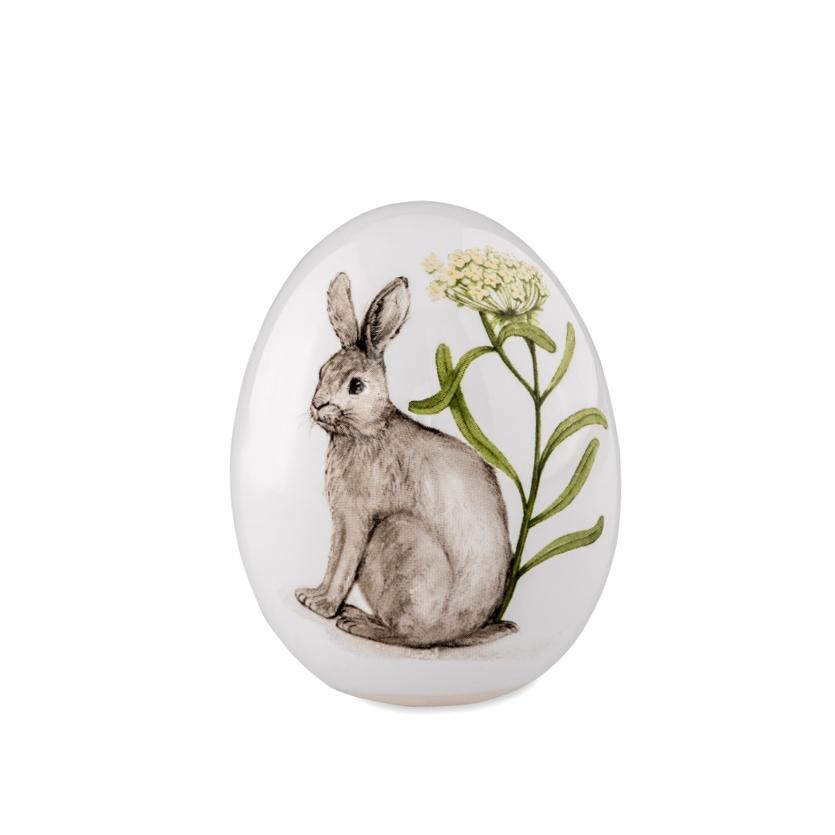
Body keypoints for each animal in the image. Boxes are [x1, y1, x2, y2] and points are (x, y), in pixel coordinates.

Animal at [295, 271, 517, 648]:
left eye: (356, 386)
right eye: (322, 371)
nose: (318, 406)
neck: (367, 432)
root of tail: (458, 630)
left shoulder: (359, 518)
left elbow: (344, 565)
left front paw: (324, 607)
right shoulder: (340, 521)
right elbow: (333, 560)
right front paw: (311, 596)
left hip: (398, 539)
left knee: (408, 636)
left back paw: (358, 622)